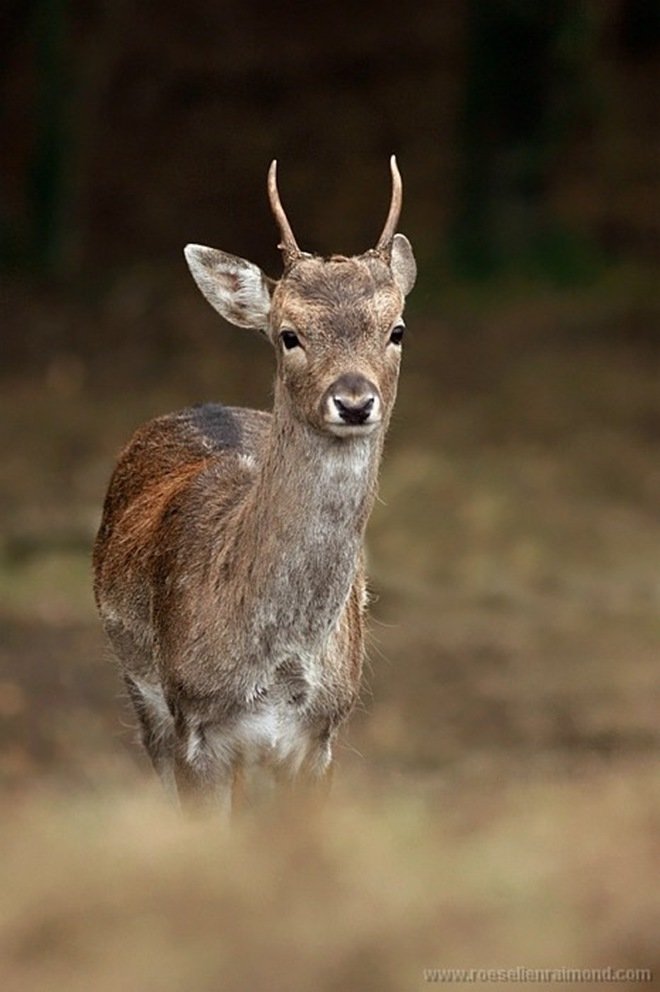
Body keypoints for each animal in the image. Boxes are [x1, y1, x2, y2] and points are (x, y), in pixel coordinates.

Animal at [92, 159, 416, 816]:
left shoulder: (320, 734)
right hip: (142, 695)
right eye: (288, 334)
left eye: (396, 329)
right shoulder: (193, 720)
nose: (353, 400)